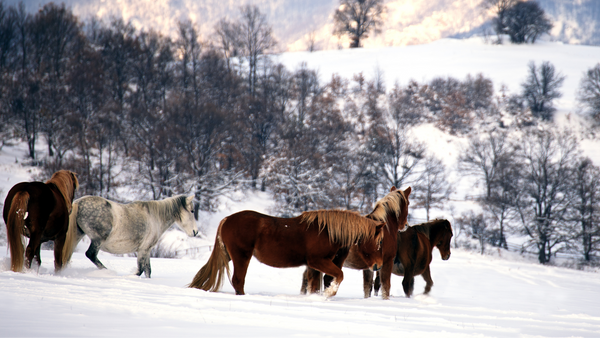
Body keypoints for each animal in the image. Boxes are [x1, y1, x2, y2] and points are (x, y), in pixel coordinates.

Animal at [64, 194, 198, 278]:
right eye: (192, 211)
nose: (195, 232)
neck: (155, 217)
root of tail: (78, 203)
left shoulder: (146, 250)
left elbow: (148, 271)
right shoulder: (143, 250)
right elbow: (140, 270)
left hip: (78, 236)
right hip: (98, 240)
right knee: (91, 254)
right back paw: (108, 272)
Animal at [190, 210, 386, 298]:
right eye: (378, 242)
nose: (379, 265)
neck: (327, 232)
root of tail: (226, 219)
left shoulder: (313, 266)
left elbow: (313, 285)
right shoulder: (317, 261)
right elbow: (339, 275)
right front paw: (329, 293)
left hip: (230, 255)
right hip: (241, 256)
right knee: (238, 280)